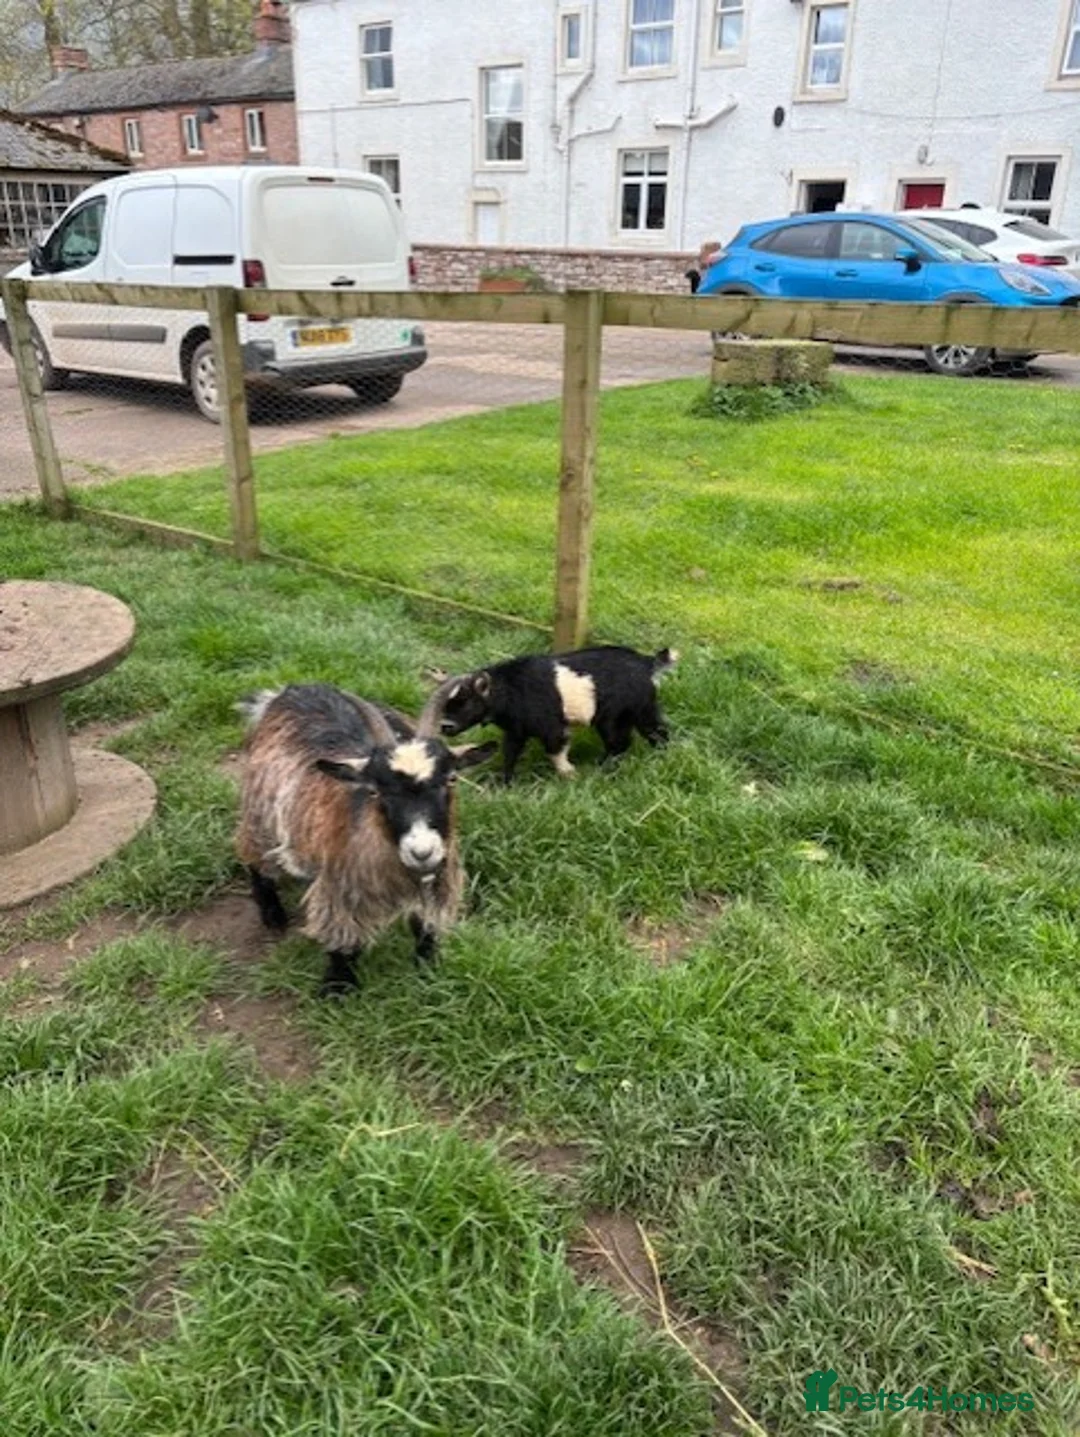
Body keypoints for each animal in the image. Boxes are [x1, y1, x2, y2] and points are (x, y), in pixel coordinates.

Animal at [235, 681, 495, 995]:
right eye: (375, 790)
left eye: (452, 779)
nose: (422, 851)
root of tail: (289, 689)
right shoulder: (342, 888)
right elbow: (343, 938)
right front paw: (337, 987)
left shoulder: (439, 880)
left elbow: (426, 925)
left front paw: (428, 969)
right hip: (260, 816)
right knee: (254, 856)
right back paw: (272, 915)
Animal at [435, 645, 678, 784]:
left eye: (465, 704)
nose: (444, 726)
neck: (509, 688)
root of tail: (647, 663)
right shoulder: (516, 729)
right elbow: (510, 752)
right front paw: (504, 782)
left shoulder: (551, 727)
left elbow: (554, 750)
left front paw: (569, 773)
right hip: (641, 708)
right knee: (655, 731)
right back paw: (659, 757)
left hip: (614, 715)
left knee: (619, 741)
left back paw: (601, 768)